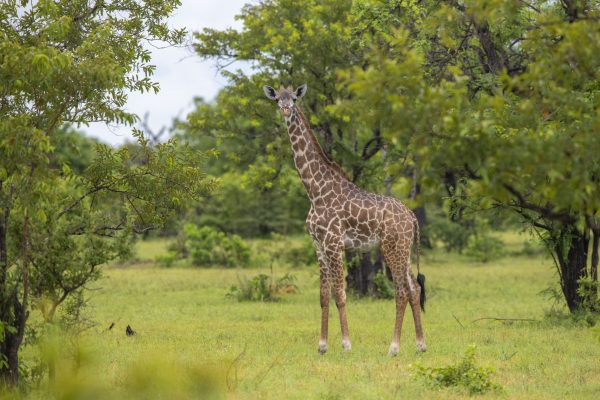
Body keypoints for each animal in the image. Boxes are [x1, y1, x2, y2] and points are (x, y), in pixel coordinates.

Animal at [264, 83, 426, 354]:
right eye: (277, 99)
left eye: (294, 99)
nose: (285, 110)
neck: (315, 191)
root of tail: (412, 217)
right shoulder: (318, 245)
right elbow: (323, 295)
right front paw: (322, 346)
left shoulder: (333, 243)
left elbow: (340, 294)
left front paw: (346, 344)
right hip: (403, 249)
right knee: (414, 288)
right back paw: (421, 344)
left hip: (392, 247)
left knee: (402, 291)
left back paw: (393, 347)